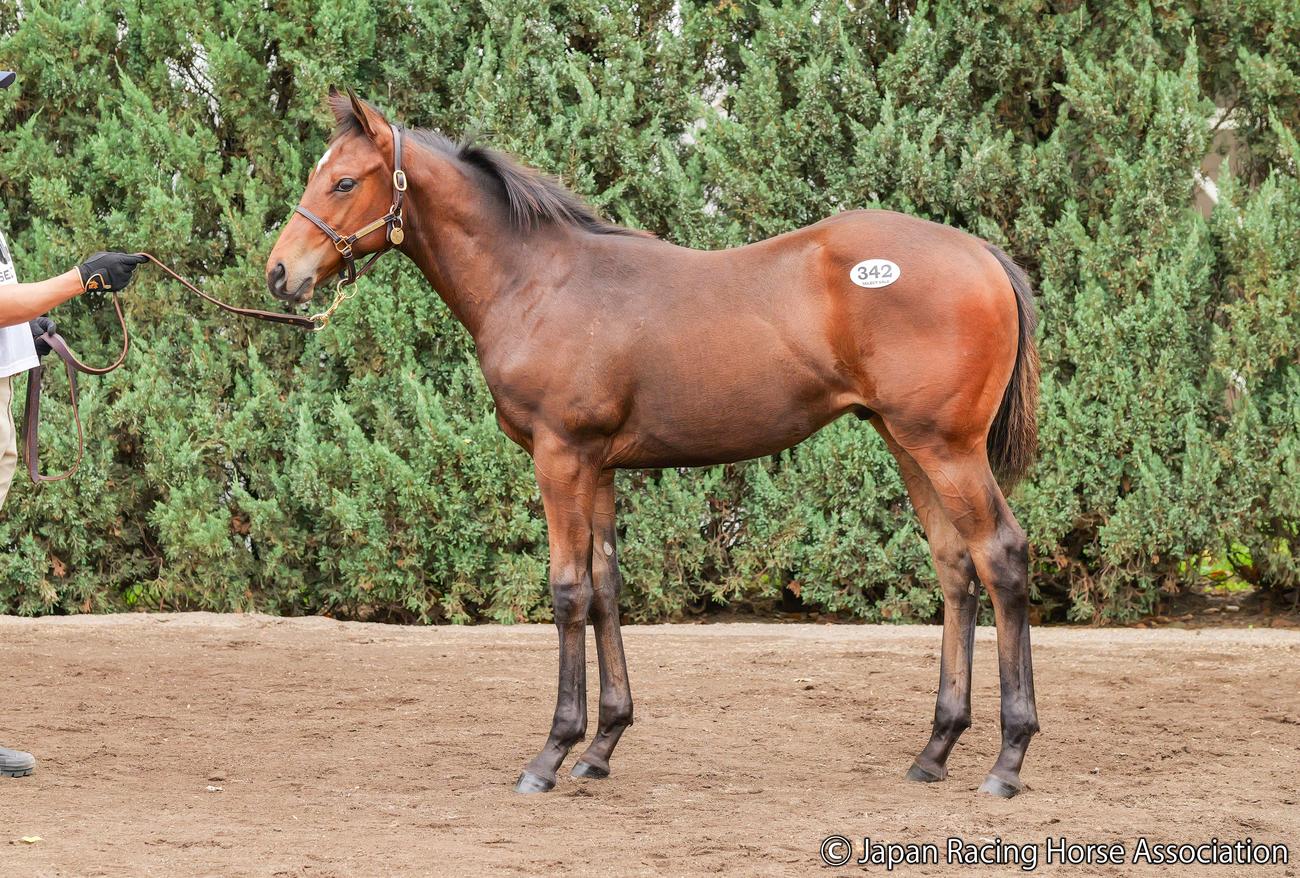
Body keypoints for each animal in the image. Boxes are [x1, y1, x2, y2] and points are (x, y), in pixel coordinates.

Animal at [266, 90, 1041, 798]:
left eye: (343, 182)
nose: (279, 274)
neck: (537, 282)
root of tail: (981, 253)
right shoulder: (600, 466)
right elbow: (607, 587)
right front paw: (601, 745)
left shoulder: (561, 456)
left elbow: (568, 590)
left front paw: (552, 753)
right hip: (907, 444)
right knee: (955, 569)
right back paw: (935, 750)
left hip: (947, 448)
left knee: (1000, 556)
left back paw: (1008, 760)